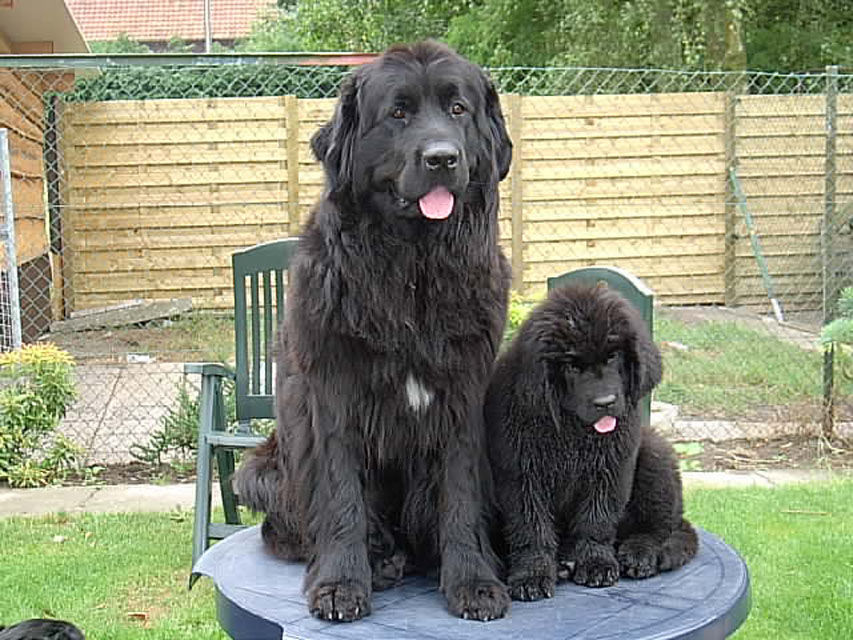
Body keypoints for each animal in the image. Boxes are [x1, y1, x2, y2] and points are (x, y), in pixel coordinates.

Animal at [234, 41, 513, 622]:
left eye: (459, 109)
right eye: (398, 113)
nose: (442, 158)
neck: (412, 269)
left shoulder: (462, 398)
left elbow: (461, 496)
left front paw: (473, 582)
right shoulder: (333, 397)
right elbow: (342, 498)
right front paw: (341, 584)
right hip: (261, 467)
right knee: (286, 527)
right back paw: (379, 561)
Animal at [484, 282, 698, 601]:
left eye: (613, 356)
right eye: (571, 365)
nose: (605, 403)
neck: (574, 431)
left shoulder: (611, 470)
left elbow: (596, 521)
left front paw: (596, 564)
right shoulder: (521, 475)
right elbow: (531, 528)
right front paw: (532, 574)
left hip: (654, 454)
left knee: (660, 529)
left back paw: (638, 554)